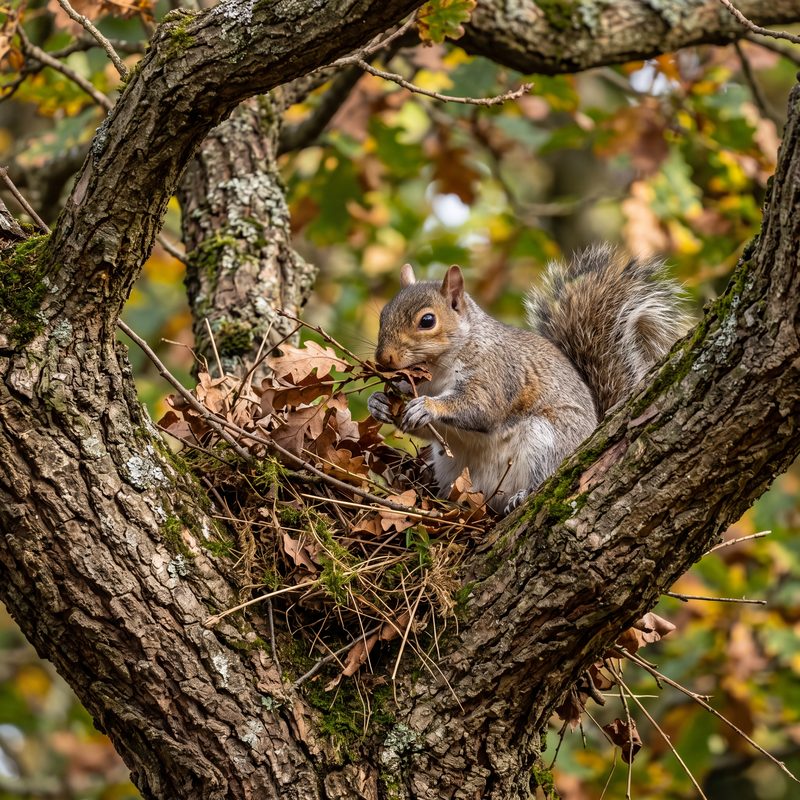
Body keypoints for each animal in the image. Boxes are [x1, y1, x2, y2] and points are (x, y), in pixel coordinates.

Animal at [367, 245, 690, 514]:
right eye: (382, 315)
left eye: (427, 321)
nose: (384, 358)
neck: (437, 374)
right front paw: (379, 403)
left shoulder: (497, 374)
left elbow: (481, 408)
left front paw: (428, 406)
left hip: (546, 440)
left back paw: (521, 497)